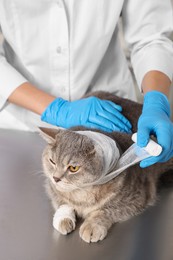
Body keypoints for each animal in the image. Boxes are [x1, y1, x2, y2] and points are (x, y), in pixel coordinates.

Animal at [40, 90, 173, 243]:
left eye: (73, 168)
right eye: (52, 161)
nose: (56, 178)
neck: (82, 194)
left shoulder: (137, 197)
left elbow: (107, 210)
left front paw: (92, 225)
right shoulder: (51, 188)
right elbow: (62, 202)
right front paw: (63, 218)